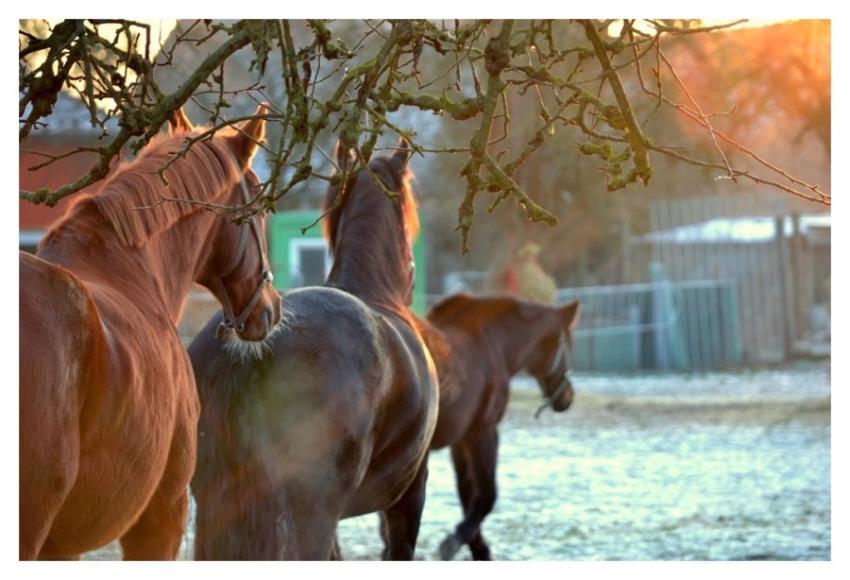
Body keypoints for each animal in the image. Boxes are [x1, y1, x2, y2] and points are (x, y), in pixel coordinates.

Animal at [413, 293, 580, 560]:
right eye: (568, 344)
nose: (567, 398)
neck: (489, 346)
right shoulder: (483, 432)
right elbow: (486, 496)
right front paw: (456, 543)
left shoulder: (461, 442)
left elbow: (467, 494)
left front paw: (476, 546)